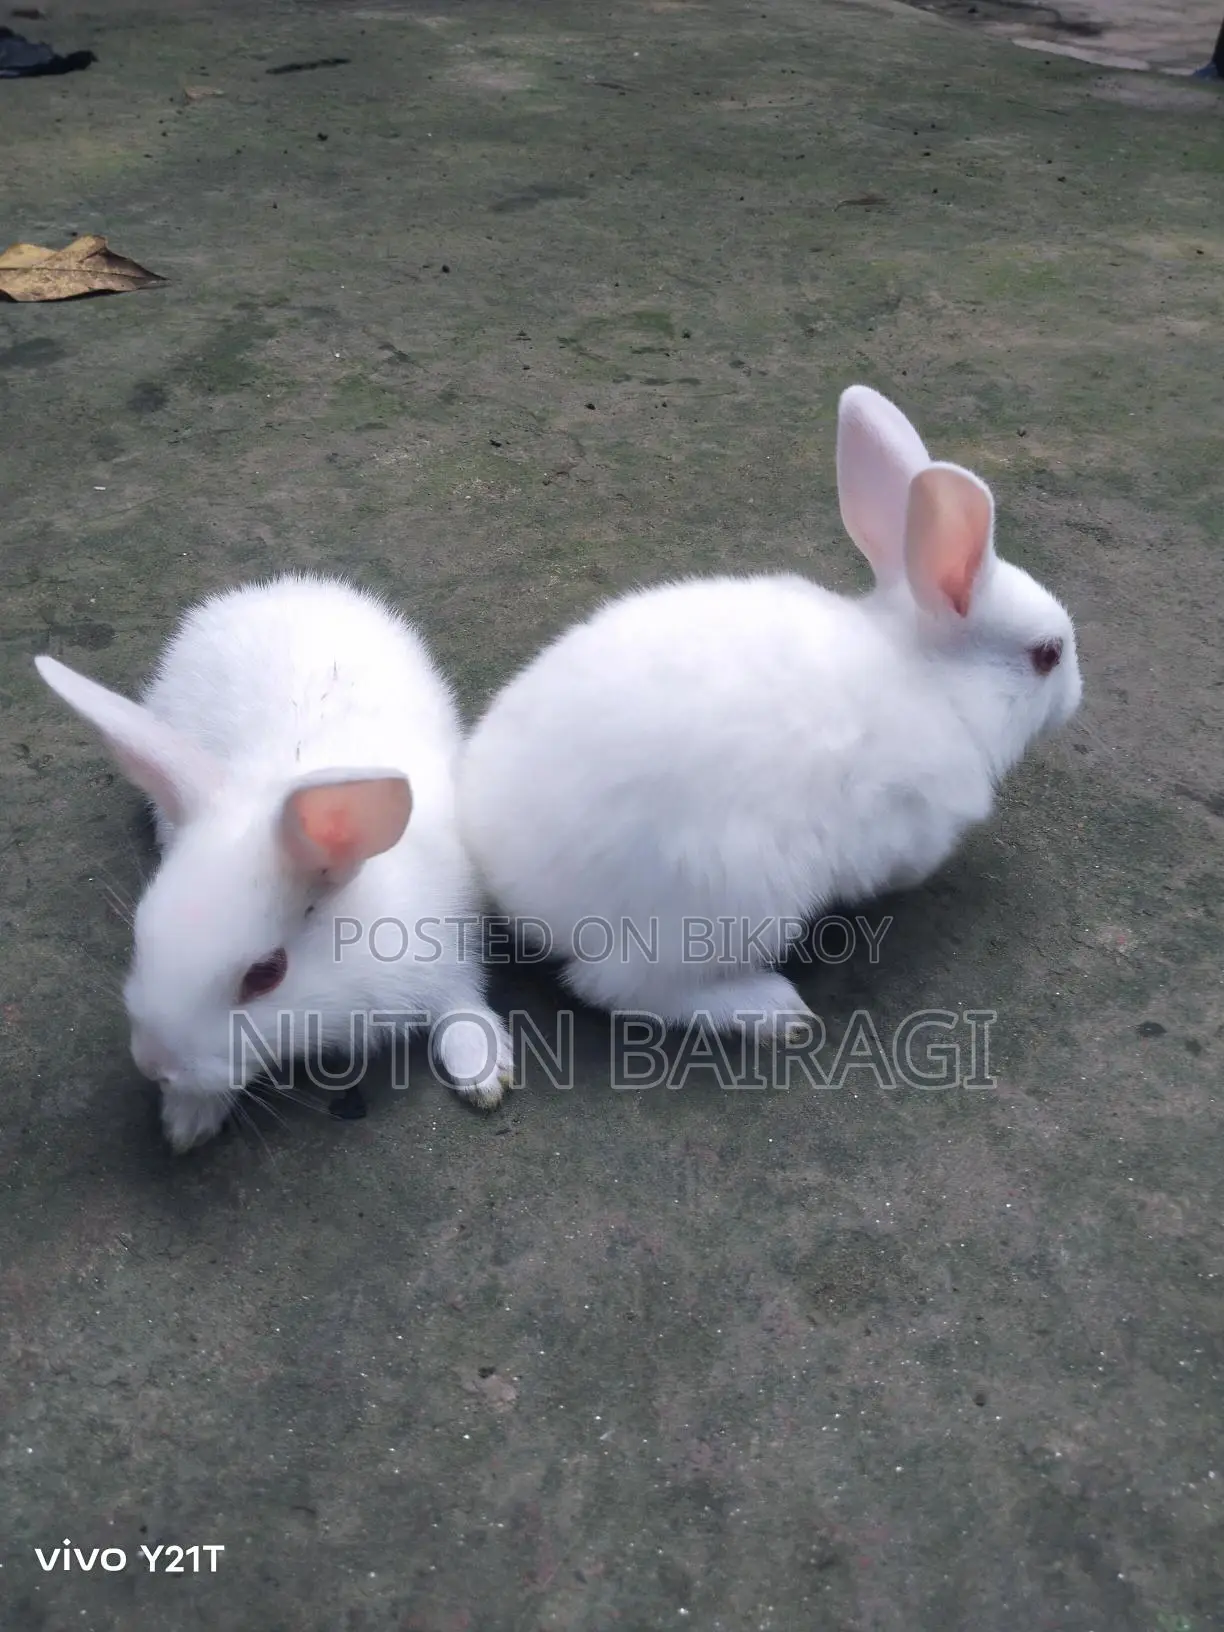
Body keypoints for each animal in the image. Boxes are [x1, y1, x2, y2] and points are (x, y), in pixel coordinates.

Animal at [35, 572, 513, 1152]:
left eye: (265, 975)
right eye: (141, 937)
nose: (154, 1065)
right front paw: (187, 1120)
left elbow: (462, 1002)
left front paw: (481, 1069)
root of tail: (278, 587)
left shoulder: (451, 941)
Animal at [456, 383, 1083, 1040]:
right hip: (729, 900)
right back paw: (773, 1009)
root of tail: (500, 870)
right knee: (616, 987)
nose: (1076, 695)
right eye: (1047, 655)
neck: (936, 681)